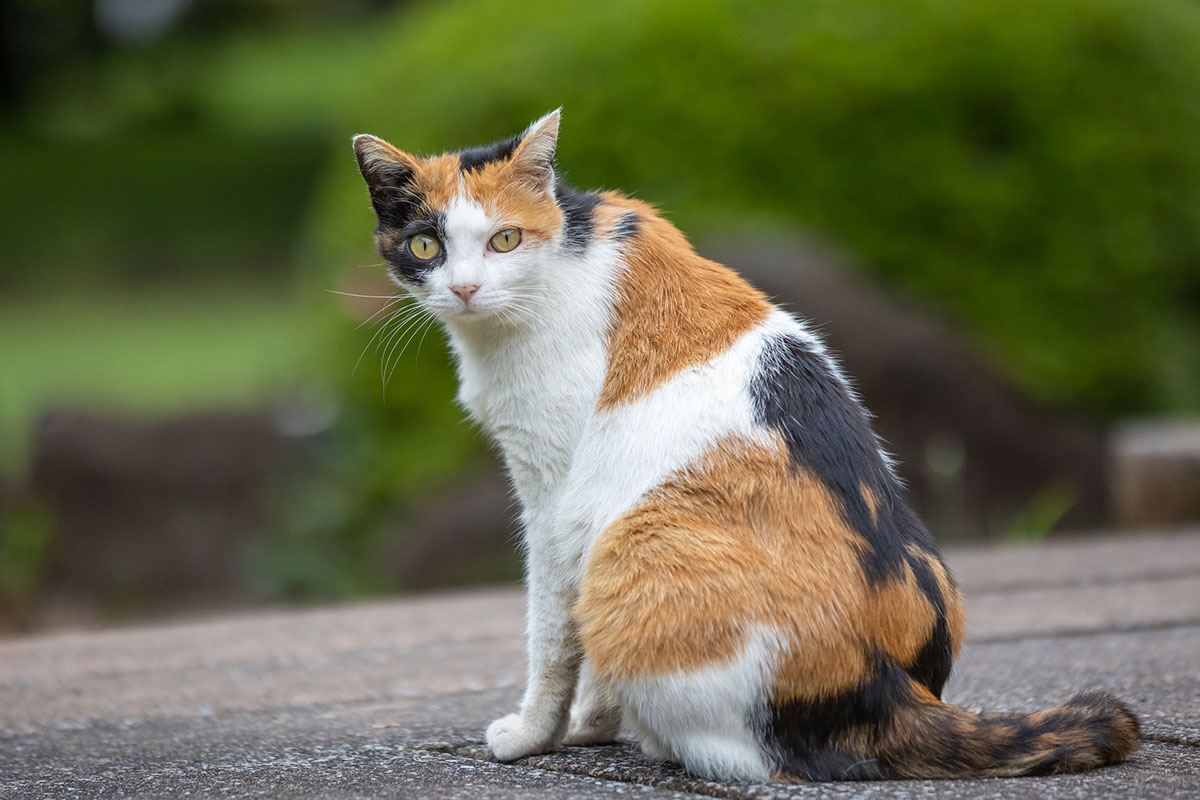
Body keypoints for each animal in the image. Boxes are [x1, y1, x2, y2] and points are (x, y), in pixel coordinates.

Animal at [350, 110, 1137, 782]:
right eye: (426, 245)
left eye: (505, 240)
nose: (465, 288)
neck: (562, 256)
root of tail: (891, 687)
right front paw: (592, 724)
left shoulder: (556, 501)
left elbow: (554, 633)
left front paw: (536, 733)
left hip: (632, 546)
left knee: (754, 757)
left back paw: (657, 739)